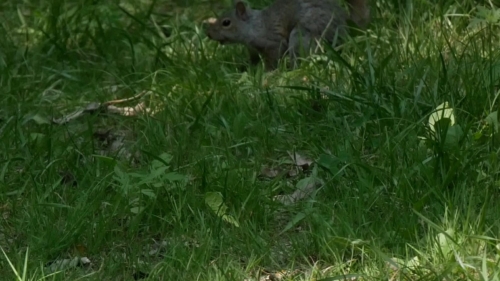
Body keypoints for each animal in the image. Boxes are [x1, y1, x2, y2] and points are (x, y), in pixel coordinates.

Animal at [203, 0, 372, 69]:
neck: (254, 26)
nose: (209, 34)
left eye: (226, 22)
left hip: (301, 36)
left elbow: (274, 57)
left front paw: (268, 73)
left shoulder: (273, 42)